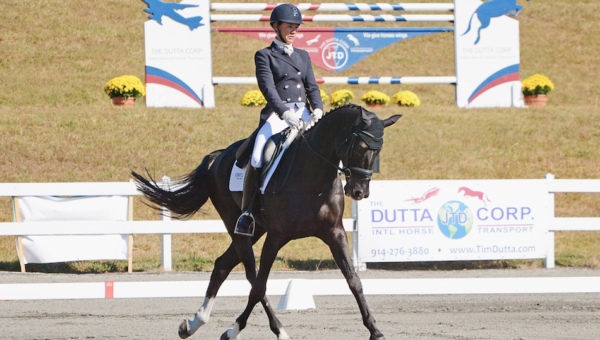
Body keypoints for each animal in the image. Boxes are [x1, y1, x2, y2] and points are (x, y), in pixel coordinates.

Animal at [134, 104, 400, 340]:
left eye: (378, 151)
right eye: (361, 146)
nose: (359, 192)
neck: (313, 175)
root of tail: (220, 156)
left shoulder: (334, 232)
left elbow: (354, 281)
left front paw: (375, 331)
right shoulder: (276, 236)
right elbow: (259, 286)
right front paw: (234, 331)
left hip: (256, 230)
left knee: (222, 266)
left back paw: (193, 323)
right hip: (240, 228)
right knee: (251, 276)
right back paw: (274, 330)